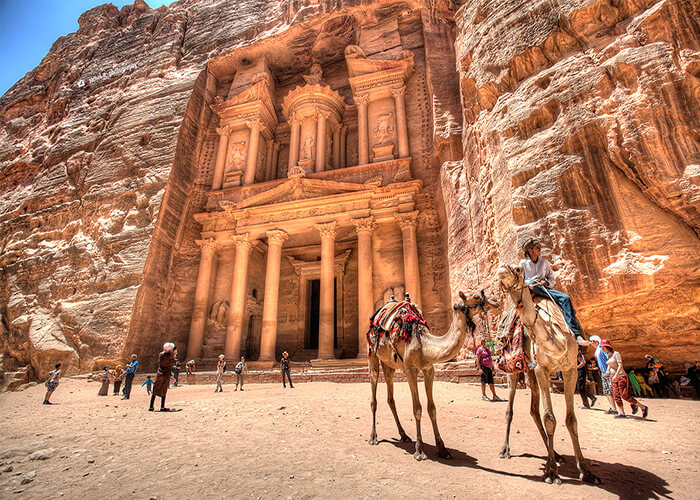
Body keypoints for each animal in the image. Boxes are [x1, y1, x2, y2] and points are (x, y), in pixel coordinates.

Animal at [370, 290, 500, 460]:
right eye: (476, 296)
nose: (495, 301)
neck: (424, 344)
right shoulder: (410, 370)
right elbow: (417, 408)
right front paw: (419, 450)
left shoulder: (428, 369)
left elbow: (432, 408)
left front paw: (442, 448)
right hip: (372, 353)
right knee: (374, 391)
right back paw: (373, 437)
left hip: (389, 364)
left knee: (390, 398)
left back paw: (403, 435)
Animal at [492, 266, 600, 484]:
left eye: (518, 269)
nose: (502, 268)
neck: (554, 337)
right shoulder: (542, 369)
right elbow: (550, 417)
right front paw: (551, 473)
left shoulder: (570, 370)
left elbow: (571, 420)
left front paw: (586, 471)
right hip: (514, 370)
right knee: (511, 409)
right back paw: (505, 450)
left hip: (530, 371)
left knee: (534, 410)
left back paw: (556, 455)